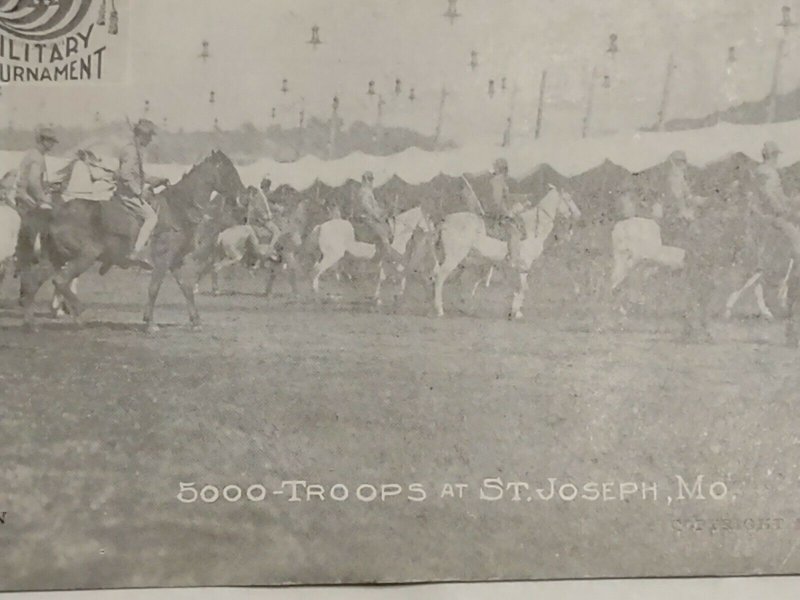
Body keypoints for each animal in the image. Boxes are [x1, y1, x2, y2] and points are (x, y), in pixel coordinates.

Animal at [18, 148, 244, 330]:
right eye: (229, 171)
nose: (242, 198)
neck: (178, 208)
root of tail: (54, 212)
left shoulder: (175, 262)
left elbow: (187, 289)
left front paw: (196, 322)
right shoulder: (162, 262)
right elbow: (154, 289)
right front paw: (150, 323)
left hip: (55, 258)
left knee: (33, 283)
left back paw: (31, 324)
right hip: (84, 257)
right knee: (60, 281)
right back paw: (80, 313)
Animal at [432, 186, 580, 318]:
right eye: (569, 198)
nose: (578, 214)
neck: (534, 227)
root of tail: (445, 220)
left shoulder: (521, 267)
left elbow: (520, 287)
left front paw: (515, 310)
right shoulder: (526, 263)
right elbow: (523, 288)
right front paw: (517, 312)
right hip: (454, 258)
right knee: (440, 278)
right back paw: (439, 309)